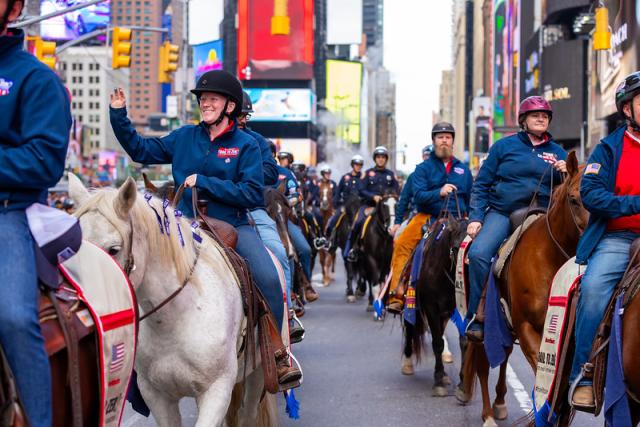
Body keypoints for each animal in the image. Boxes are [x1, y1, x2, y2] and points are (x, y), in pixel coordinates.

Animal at [460, 152, 592, 426]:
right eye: (574, 199)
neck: (550, 257)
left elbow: (561, 394)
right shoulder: (528, 329)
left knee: (504, 355)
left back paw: (500, 404)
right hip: (486, 326)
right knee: (482, 364)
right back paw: (488, 415)